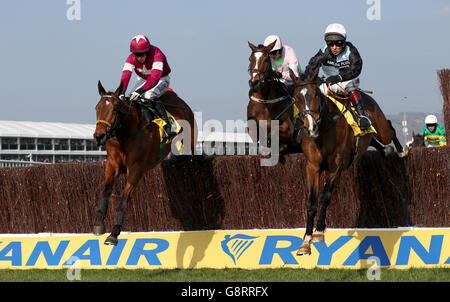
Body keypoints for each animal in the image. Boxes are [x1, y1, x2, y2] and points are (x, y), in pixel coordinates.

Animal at [92, 81, 196, 245]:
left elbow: (123, 199)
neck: (125, 134)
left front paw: (114, 233)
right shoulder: (112, 165)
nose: (99, 136)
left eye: (115, 108)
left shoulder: (136, 169)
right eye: (97, 108)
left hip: (188, 143)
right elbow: (106, 191)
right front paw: (99, 224)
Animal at [290, 68, 410, 255]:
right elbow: (311, 202)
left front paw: (319, 231)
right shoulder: (312, 167)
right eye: (296, 97)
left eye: (315, 94)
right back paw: (385, 150)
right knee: (371, 138)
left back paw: (400, 150)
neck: (323, 131)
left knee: (390, 128)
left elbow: (325, 196)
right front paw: (306, 241)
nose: (310, 127)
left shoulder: (337, 166)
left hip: (382, 128)